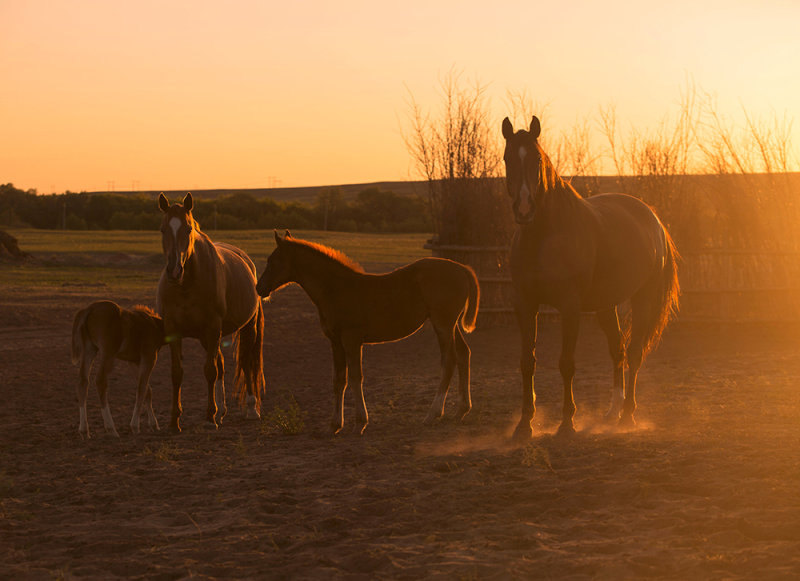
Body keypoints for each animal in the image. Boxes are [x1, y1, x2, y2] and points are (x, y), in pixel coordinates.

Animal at [157, 194, 266, 430]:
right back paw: (222, 411)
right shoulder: (173, 330)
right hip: (207, 338)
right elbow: (177, 373)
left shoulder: (213, 328)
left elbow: (210, 371)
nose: (174, 271)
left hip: (247, 328)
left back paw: (251, 409)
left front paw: (209, 418)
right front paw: (174, 421)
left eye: (188, 228)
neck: (186, 285)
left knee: (246, 362)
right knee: (222, 365)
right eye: (162, 229)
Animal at [260, 229, 478, 432]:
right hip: (450, 325)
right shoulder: (335, 342)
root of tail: (462, 268)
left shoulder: (352, 339)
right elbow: (339, 380)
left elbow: (356, 377)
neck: (337, 288)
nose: (258, 287)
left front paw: (360, 422)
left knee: (449, 361)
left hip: (443, 324)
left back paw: (433, 414)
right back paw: (461, 410)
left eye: (273, 261)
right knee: (463, 354)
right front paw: (335, 425)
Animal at [504, 115, 680, 438]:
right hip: (605, 306)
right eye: (508, 158)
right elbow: (526, 362)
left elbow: (566, 363)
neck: (545, 236)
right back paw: (612, 411)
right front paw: (524, 424)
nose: (524, 209)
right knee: (618, 350)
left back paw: (627, 415)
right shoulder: (525, 305)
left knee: (634, 353)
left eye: (537, 159)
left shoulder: (570, 307)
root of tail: (654, 220)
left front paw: (567, 422)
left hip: (643, 299)